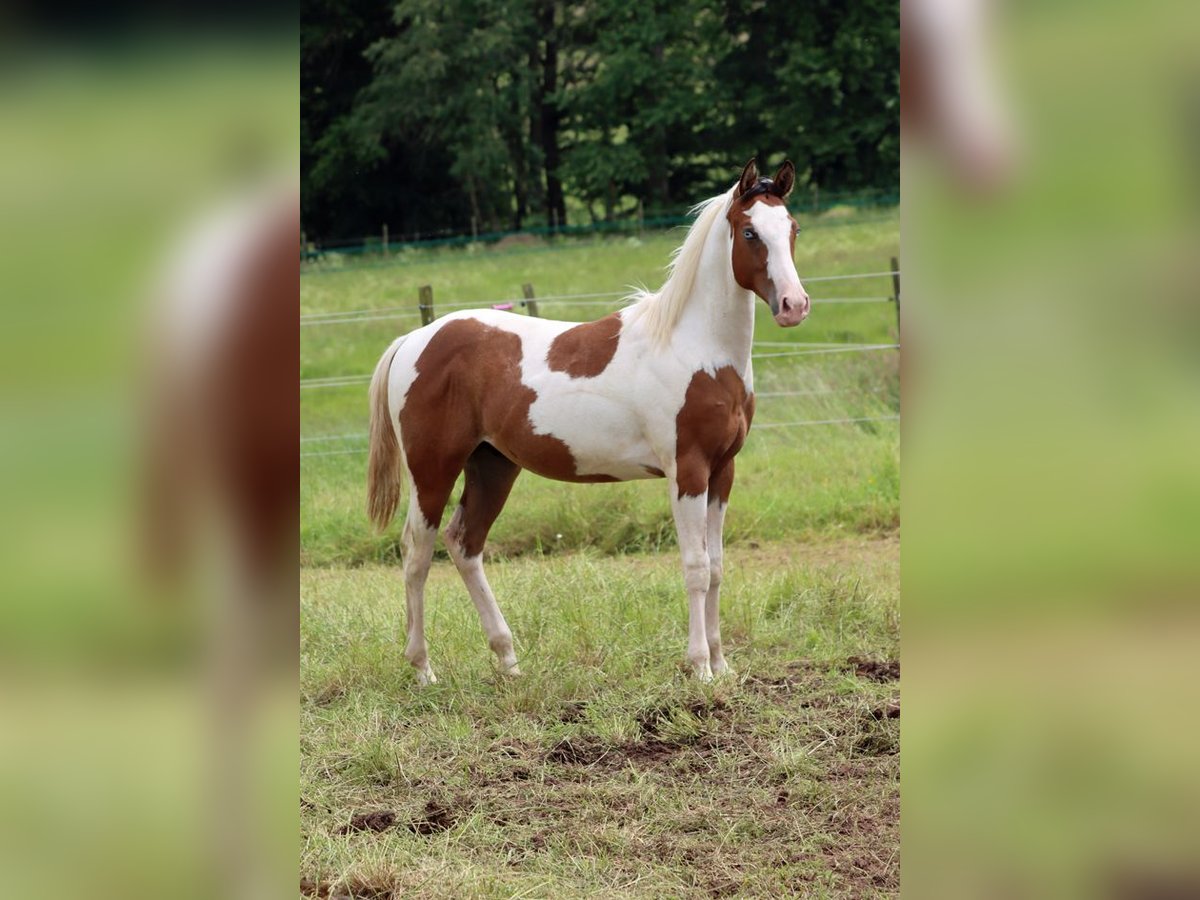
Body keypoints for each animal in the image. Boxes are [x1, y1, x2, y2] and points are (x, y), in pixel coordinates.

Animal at [364, 160, 811, 681]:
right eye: (749, 232)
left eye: (792, 228)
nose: (794, 305)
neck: (696, 348)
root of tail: (415, 340)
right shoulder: (688, 472)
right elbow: (696, 567)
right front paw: (699, 667)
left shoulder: (722, 472)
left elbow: (717, 566)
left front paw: (722, 666)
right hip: (433, 470)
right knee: (417, 554)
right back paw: (423, 670)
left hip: (493, 465)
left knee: (464, 544)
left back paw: (509, 660)